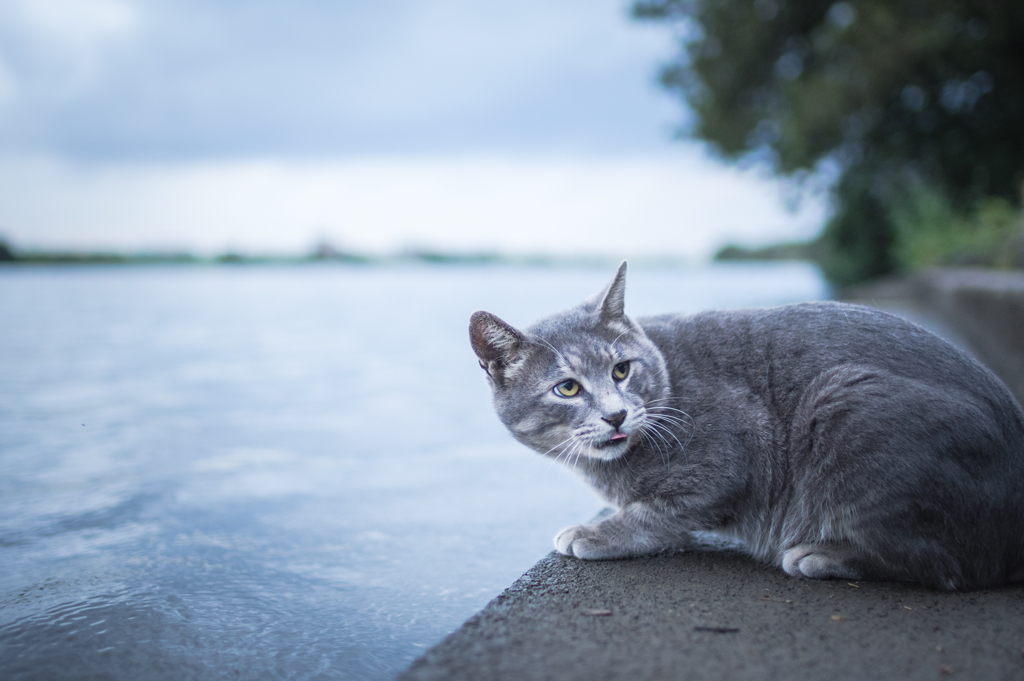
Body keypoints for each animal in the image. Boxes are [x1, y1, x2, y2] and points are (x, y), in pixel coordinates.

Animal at [468, 260, 1024, 589]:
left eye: (622, 370)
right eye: (567, 388)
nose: (616, 413)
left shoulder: (730, 460)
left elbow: (655, 513)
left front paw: (596, 531)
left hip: (845, 399)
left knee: (951, 567)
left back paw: (820, 555)